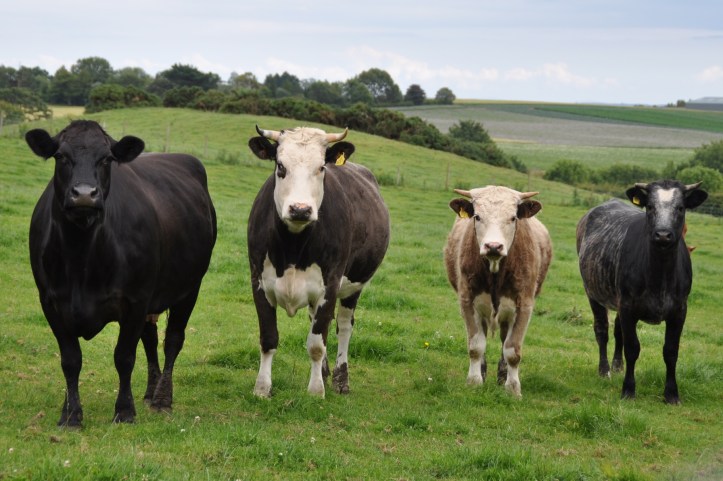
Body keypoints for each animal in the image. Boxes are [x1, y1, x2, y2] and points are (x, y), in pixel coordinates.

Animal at [25, 120, 217, 426]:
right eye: (61, 156)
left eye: (107, 159)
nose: (84, 194)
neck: (81, 256)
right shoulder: (50, 301)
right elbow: (70, 360)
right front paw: (70, 414)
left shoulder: (135, 300)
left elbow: (124, 357)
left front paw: (124, 411)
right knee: (150, 339)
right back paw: (150, 392)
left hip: (189, 288)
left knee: (172, 341)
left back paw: (162, 398)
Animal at [247, 126, 390, 398]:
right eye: (280, 166)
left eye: (321, 167)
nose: (300, 209)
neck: (293, 246)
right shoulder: (258, 282)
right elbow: (268, 338)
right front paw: (262, 388)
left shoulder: (330, 285)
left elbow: (316, 343)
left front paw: (315, 391)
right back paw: (323, 372)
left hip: (354, 286)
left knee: (343, 326)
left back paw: (340, 380)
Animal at [443, 186, 552, 397]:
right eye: (477, 216)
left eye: (513, 218)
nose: (493, 246)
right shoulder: (467, 300)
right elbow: (476, 346)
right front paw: (474, 382)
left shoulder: (524, 304)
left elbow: (513, 350)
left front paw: (513, 388)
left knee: (504, 340)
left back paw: (502, 375)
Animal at [576, 180, 707, 404]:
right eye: (650, 207)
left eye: (681, 208)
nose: (663, 234)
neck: (660, 275)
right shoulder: (628, 307)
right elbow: (632, 348)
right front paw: (628, 390)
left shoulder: (679, 310)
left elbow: (671, 351)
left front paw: (671, 394)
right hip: (593, 293)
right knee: (602, 330)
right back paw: (604, 370)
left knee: (617, 330)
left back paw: (616, 366)